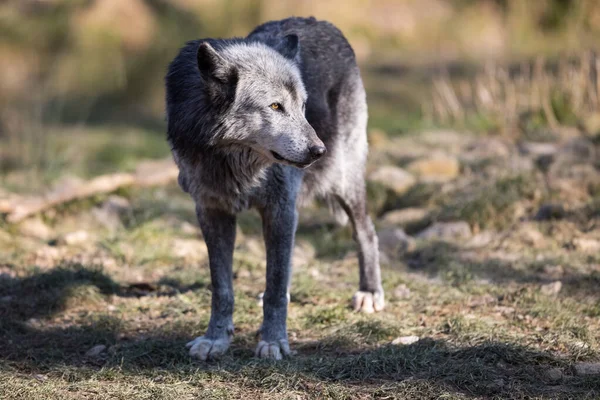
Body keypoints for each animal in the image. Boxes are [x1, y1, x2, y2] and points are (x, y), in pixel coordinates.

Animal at [163, 15, 384, 360]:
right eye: (276, 106)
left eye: (303, 106)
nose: (319, 150)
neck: (233, 161)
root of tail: (321, 21)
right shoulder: (211, 211)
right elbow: (222, 287)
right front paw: (216, 339)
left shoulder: (281, 210)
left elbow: (276, 287)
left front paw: (274, 340)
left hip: (344, 180)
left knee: (366, 233)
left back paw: (370, 292)